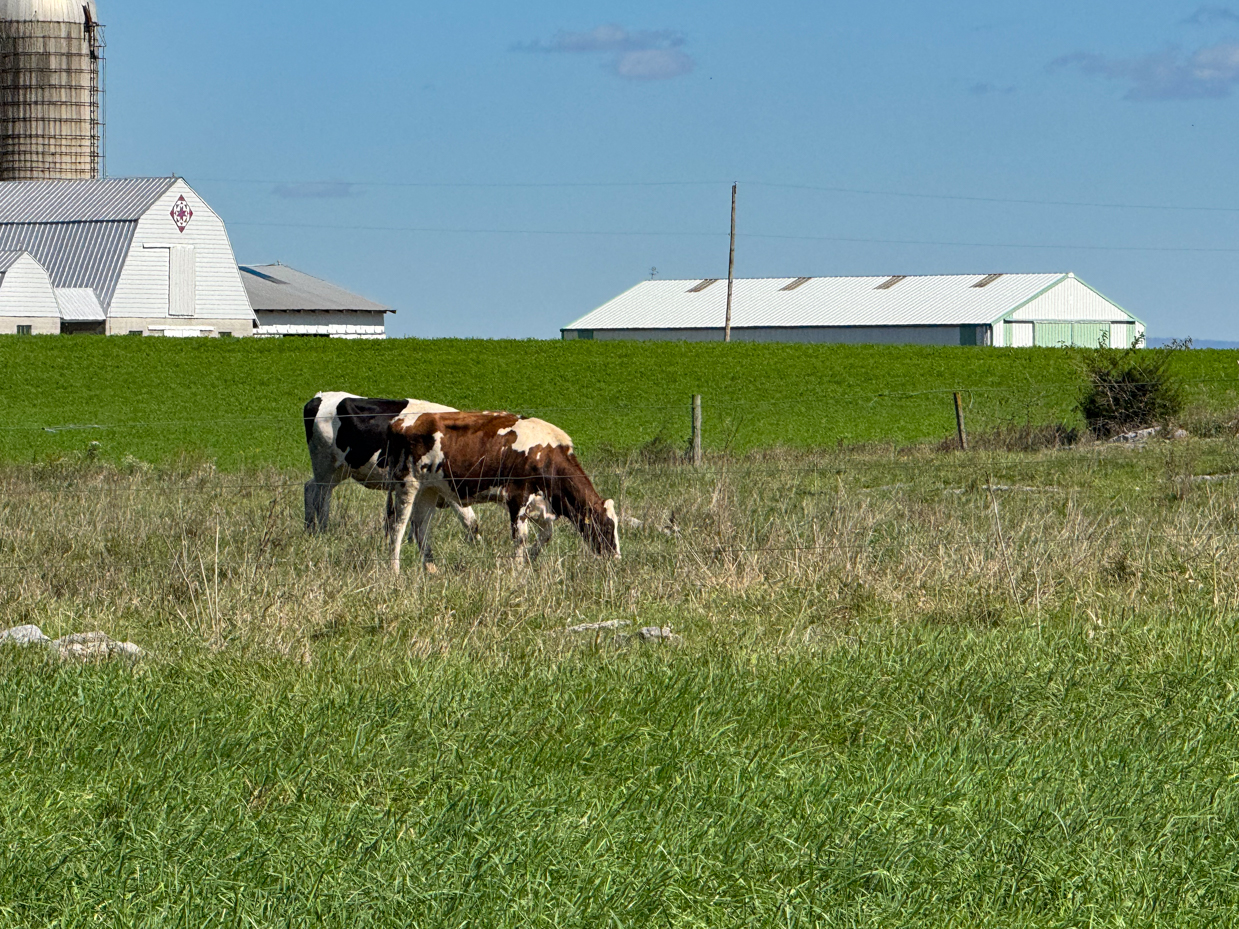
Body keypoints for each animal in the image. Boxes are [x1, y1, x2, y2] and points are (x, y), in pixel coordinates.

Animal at [299, 391, 478, 537]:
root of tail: (319, 397)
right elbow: (471, 522)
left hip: (339, 469)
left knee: (310, 487)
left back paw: (309, 529)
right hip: (325, 465)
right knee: (321, 498)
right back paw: (322, 532)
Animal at [386, 408, 619, 572]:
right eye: (606, 528)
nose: (616, 559)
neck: (547, 455)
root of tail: (400, 422)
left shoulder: (539, 503)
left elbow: (547, 534)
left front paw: (529, 560)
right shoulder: (517, 496)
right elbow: (521, 537)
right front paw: (517, 570)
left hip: (430, 489)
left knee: (421, 528)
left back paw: (431, 569)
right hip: (407, 484)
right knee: (398, 527)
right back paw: (394, 571)